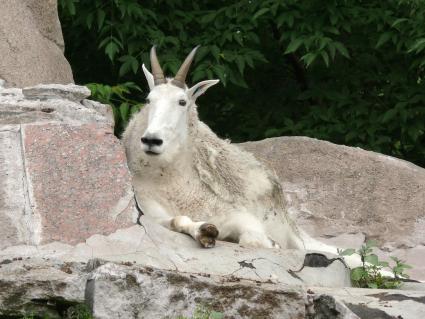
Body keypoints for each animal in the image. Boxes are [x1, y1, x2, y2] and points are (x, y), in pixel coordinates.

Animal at [123, 47, 354, 266]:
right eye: (149, 99)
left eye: (182, 101)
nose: (152, 140)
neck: (174, 184)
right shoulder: (153, 214)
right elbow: (178, 221)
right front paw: (205, 232)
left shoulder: (237, 215)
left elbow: (253, 239)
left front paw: (271, 244)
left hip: (293, 234)